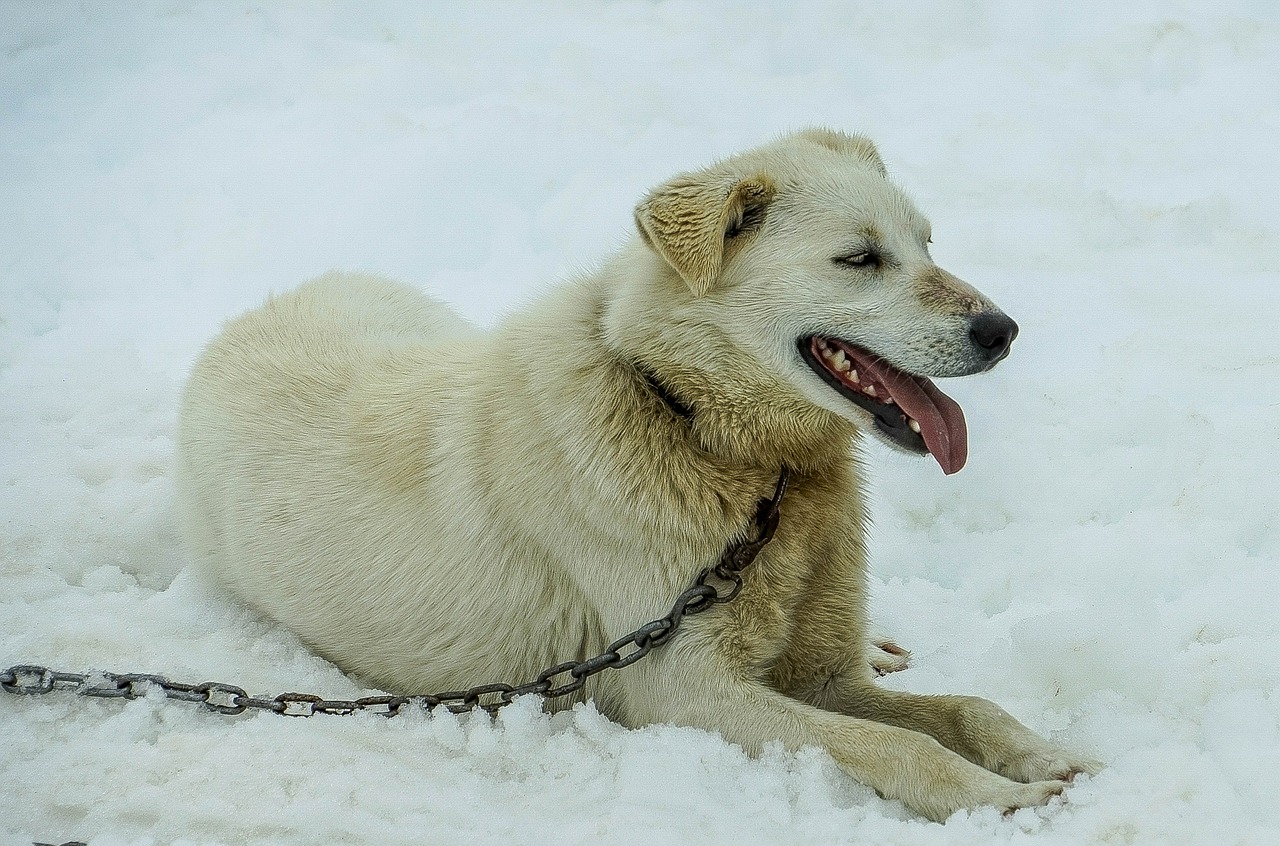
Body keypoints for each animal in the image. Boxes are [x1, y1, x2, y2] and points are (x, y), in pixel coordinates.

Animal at [177, 130, 1100, 819]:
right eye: (860, 258)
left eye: (926, 245)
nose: (1002, 329)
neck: (696, 426)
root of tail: (248, 320)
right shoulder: (683, 692)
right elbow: (898, 742)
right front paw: (994, 799)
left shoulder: (821, 675)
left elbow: (967, 706)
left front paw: (1040, 756)